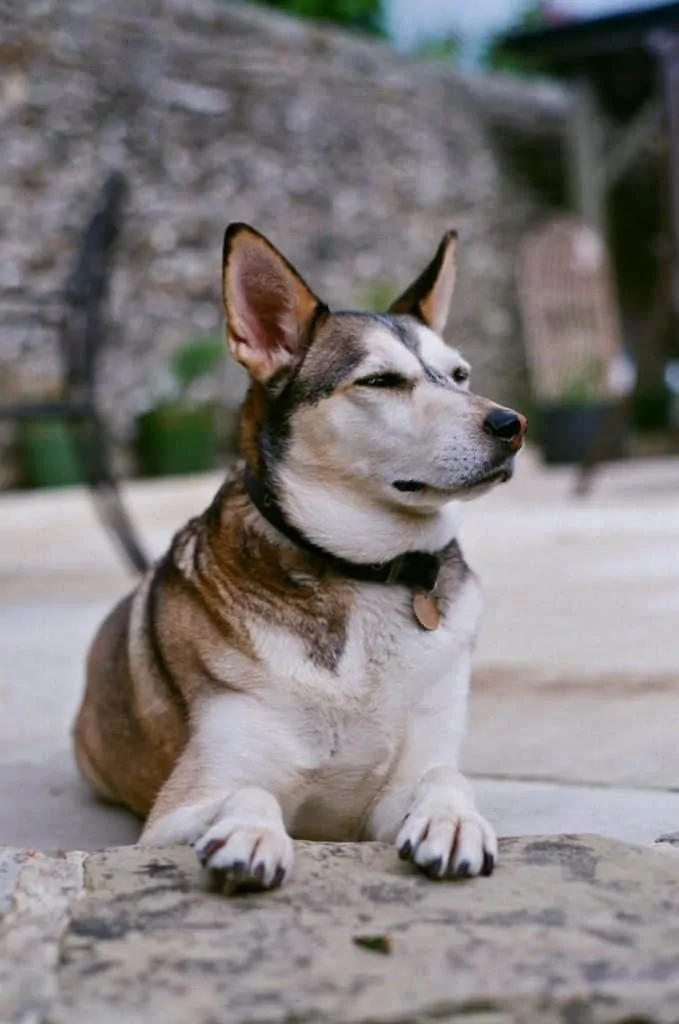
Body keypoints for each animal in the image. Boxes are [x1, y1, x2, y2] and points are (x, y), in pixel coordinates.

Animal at [74, 222, 528, 888]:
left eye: (460, 374)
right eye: (380, 381)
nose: (511, 424)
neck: (365, 575)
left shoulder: (392, 791)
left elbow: (444, 775)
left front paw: (453, 820)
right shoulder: (173, 814)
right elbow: (249, 791)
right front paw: (249, 832)